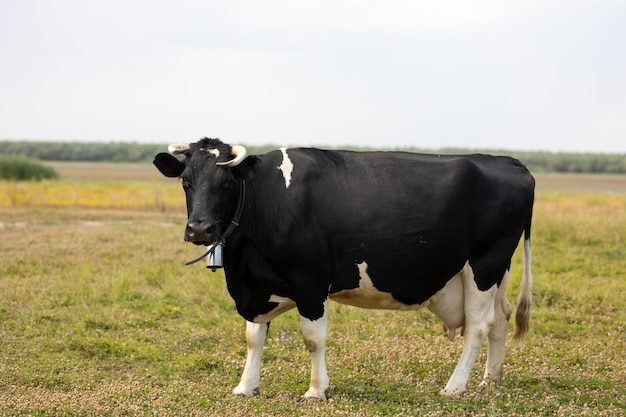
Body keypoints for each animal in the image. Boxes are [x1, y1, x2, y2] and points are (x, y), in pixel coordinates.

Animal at [154, 137, 532, 400]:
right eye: (186, 181)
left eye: (227, 183)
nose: (200, 229)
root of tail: (509, 161)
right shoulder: (259, 285)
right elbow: (253, 337)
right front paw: (246, 387)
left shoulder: (310, 280)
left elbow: (313, 338)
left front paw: (316, 390)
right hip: (497, 271)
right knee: (500, 317)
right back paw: (490, 380)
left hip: (484, 264)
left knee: (478, 327)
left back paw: (455, 386)